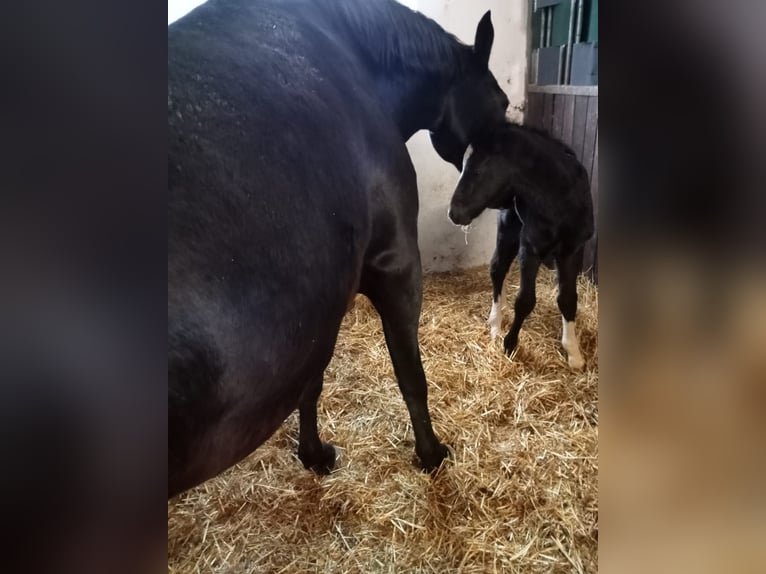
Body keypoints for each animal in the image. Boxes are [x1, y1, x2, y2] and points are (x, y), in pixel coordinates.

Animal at [450, 124, 592, 372]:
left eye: (481, 166)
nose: (454, 213)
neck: (560, 200)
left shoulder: (572, 250)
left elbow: (567, 299)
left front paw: (574, 353)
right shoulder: (530, 249)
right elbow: (525, 300)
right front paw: (509, 343)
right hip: (508, 232)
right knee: (497, 270)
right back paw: (495, 324)